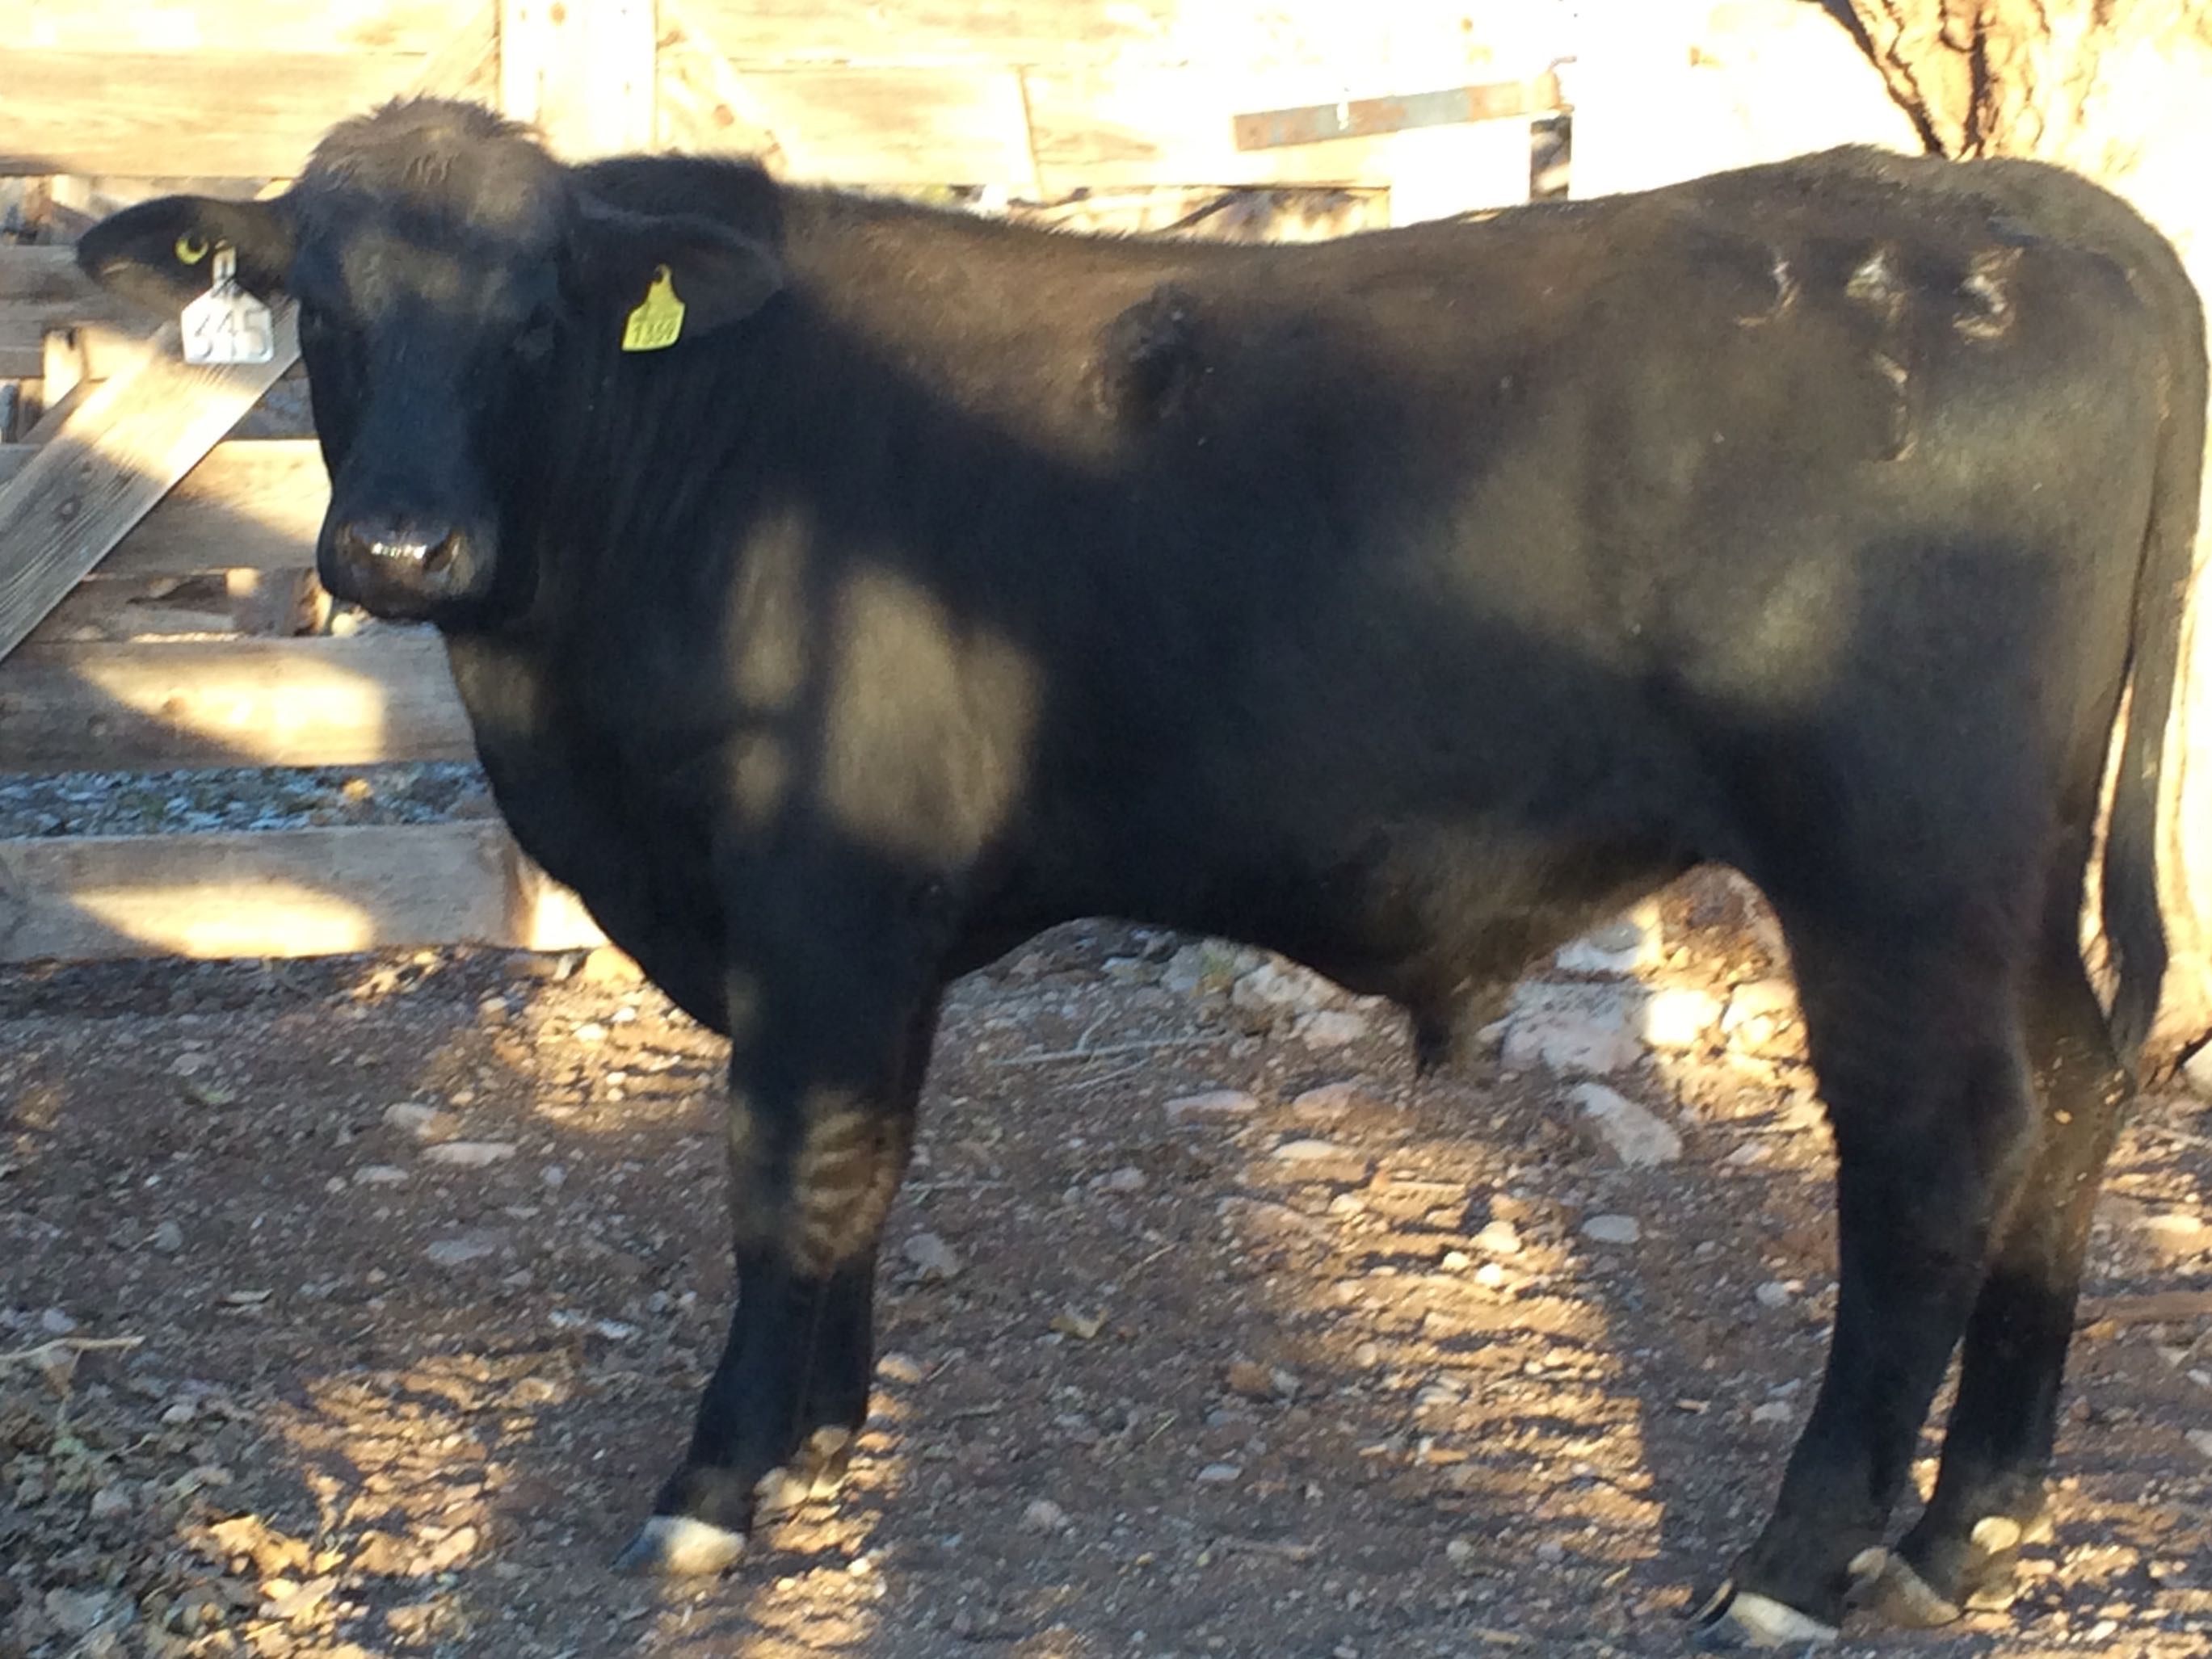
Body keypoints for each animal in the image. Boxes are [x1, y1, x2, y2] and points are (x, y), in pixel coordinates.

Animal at [79, 99, 2202, 1649]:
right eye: (319, 310)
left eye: (534, 315)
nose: (401, 549)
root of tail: (2039, 216)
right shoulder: (871, 926)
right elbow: (862, 1162)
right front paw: (827, 1434)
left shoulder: (822, 895)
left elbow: (790, 1168)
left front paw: (719, 1477)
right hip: (2009, 873)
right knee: (2081, 1087)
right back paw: (1969, 1524)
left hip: (1896, 870)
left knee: (1934, 1161)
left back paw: (1798, 1556)